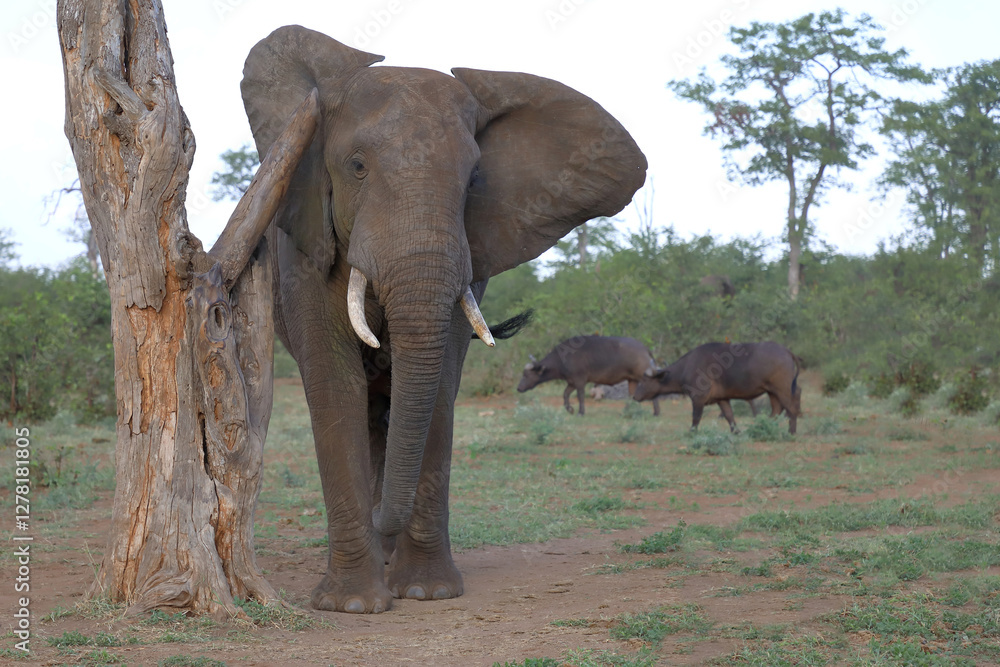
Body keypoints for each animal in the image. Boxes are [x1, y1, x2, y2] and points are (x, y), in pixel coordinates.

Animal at [240, 25, 646, 613]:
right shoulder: (305, 243)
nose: (382, 521)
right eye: (356, 166)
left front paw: (425, 592)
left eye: (475, 179)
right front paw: (354, 605)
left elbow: (439, 385)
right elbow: (335, 385)